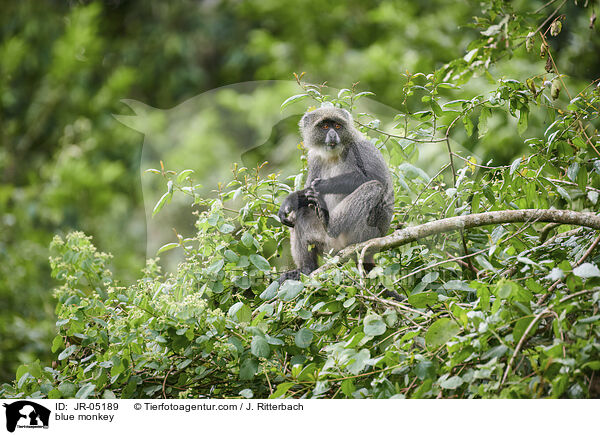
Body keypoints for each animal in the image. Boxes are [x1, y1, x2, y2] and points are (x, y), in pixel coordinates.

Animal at [276, 106, 394, 282]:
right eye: (325, 126)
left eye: (337, 126)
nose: (332, 134)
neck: (333, 155)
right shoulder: (314, 158)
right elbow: (305, 198)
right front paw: (290, 200)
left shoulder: (361, 148)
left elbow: (376, 178)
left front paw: (322, 186)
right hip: (327, 246)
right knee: (302, 211)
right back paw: (306, 268)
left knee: (374, 187)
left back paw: (330, 225)